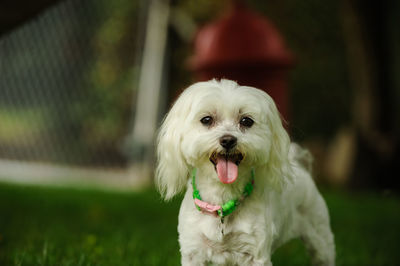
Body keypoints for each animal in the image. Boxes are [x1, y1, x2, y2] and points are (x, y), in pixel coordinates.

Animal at [155, 79, 334, 266]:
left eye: (246, 121)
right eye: (207, 120)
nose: (228, 140)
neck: (223, 199)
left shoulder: (256, 253)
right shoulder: (193, 251)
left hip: (320, 239)